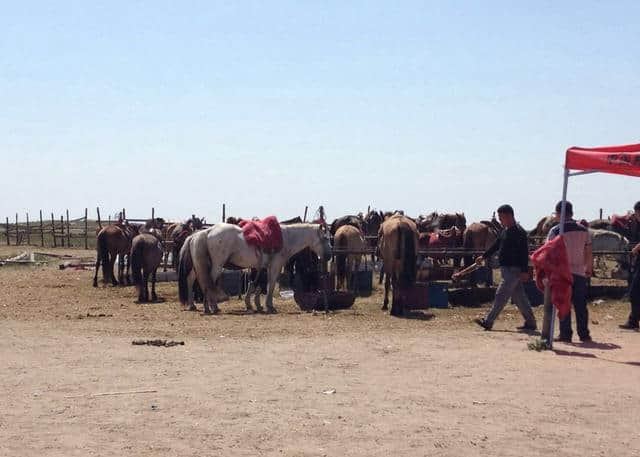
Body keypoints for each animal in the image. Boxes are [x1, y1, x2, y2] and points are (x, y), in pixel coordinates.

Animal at [179, 222, 332, 314]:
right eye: (325, 238)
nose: (329, 256)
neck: (285, 238)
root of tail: (207, 231)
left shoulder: (261, 267)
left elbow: (258, 285)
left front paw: (255, 305)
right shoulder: (275, 266)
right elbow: (270, 285)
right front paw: (269, 306)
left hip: (199, 265)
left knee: (192, 280)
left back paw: (195, 305)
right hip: (216, 265)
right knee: (208, 281)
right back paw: (210, 307)